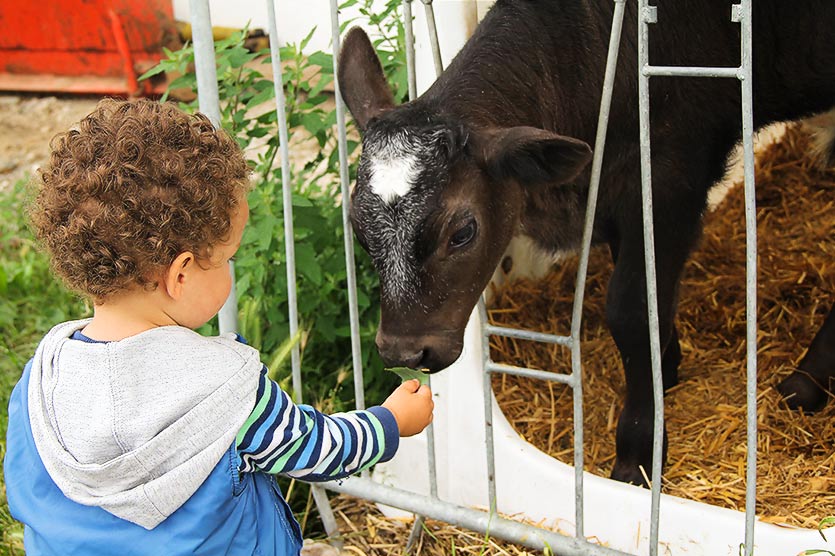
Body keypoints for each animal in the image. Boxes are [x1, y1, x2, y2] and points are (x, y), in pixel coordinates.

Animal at [334, 0, 835, 484]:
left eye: (462, 232)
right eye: (358, 228)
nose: (404, 352)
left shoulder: (672, 179)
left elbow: (633, 312)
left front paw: (637, 452)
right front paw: (667, 367)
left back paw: (805, 383)